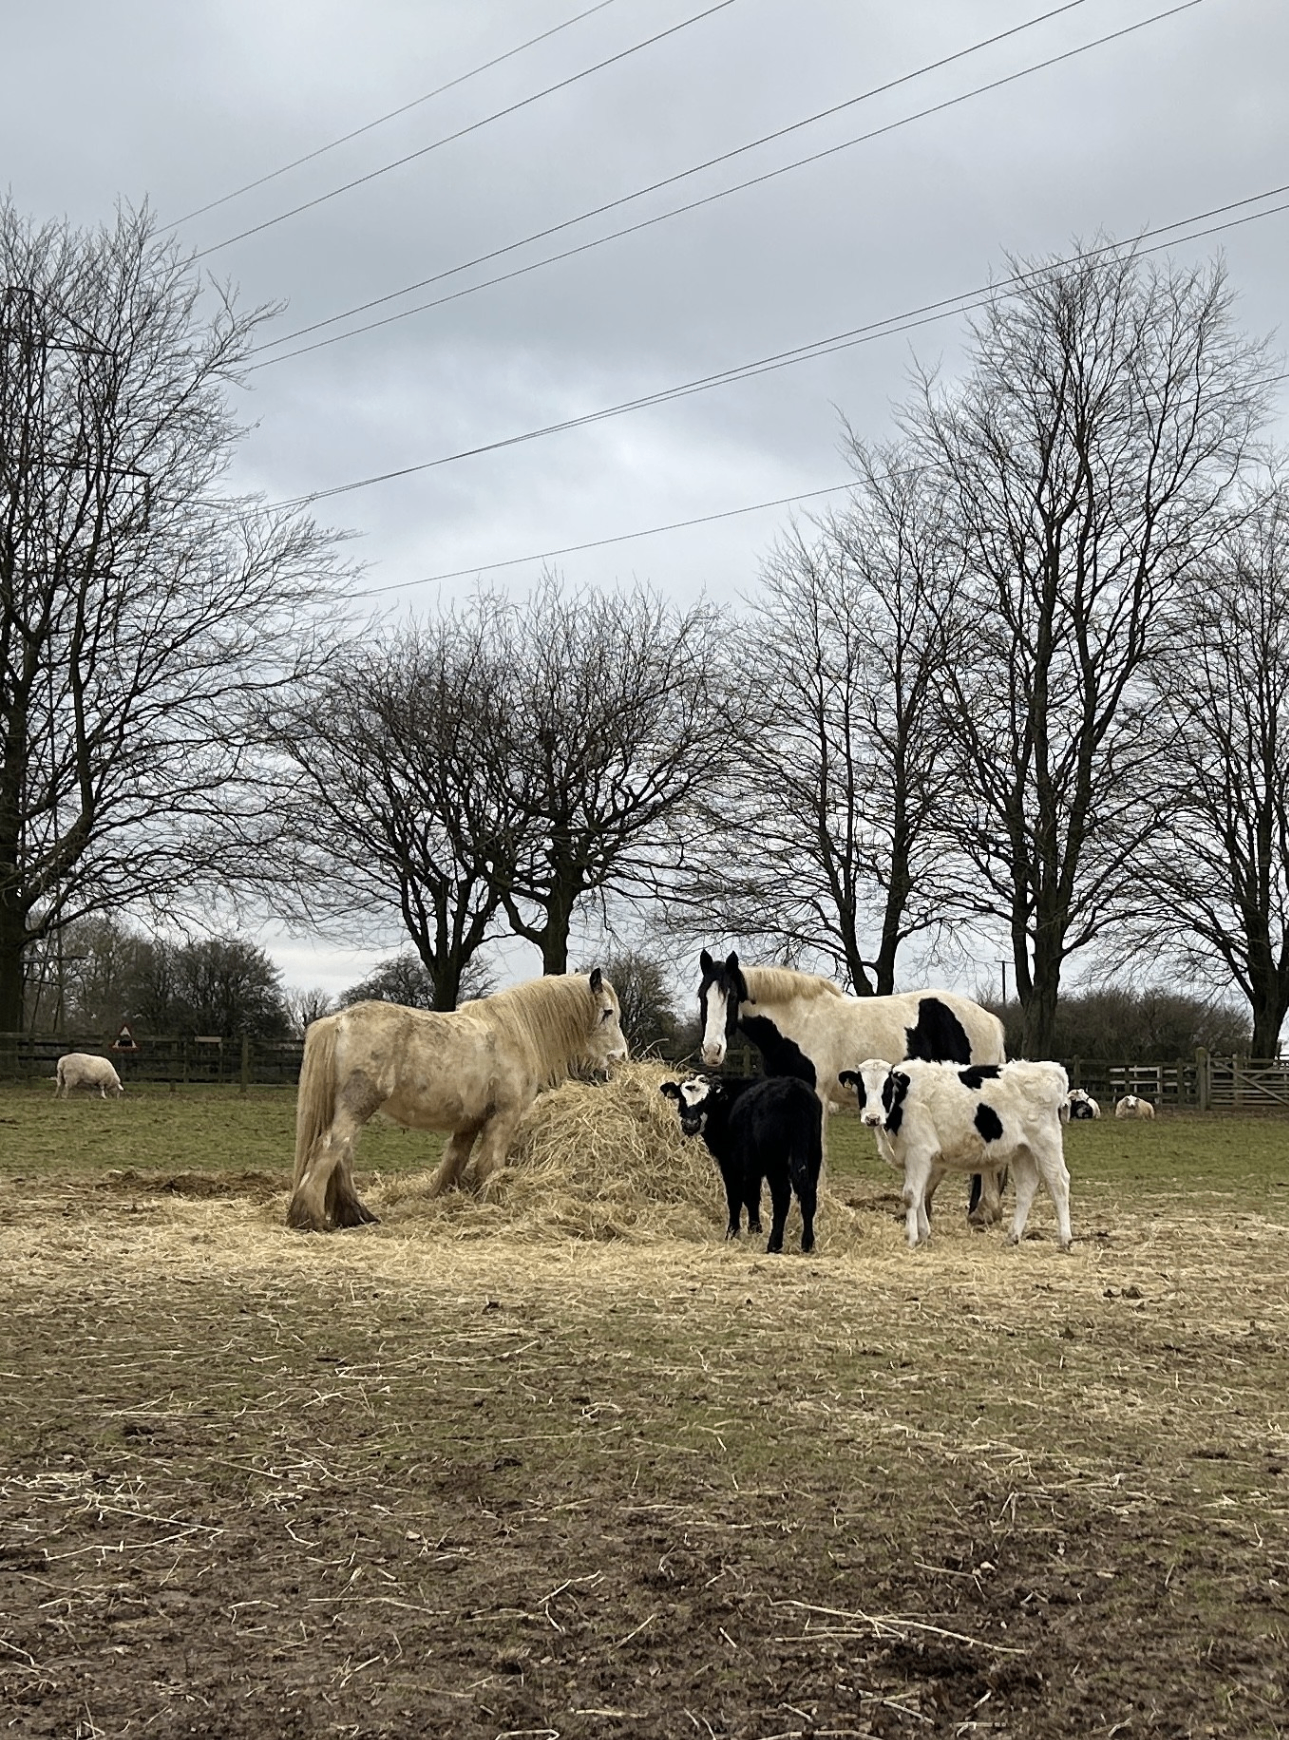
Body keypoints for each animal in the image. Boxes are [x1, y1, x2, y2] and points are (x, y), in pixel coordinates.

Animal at [286, 969, 628, 1232]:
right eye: (607, 1012)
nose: (620, 1056)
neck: (514, 1032)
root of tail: (339, 1022)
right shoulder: (503, 1117)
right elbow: (489, 1166)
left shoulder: (469, 1123)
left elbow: (453, 1163)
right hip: (357, 1106)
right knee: (329, 1148)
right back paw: (311, 1218)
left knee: (342, 1156)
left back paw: (354, 1215)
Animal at [660, 1074, 823, 1255]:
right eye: (682, 1099)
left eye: (707, 1101)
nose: (690, 1124)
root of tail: (795, 1089)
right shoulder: (753, 1168)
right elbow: (752, 1197)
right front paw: (755, 1230)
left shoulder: (732, 1165)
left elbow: (736, 1198)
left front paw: (733, 1233)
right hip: (813, 1154)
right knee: (808, 1193)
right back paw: (807, 1244)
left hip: (774, 1161)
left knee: (782, 1195)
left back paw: (774, 1244)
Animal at [696, 950, 1008, 1224]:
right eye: (702, 996)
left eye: (732, 995)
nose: (712, 1051)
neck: (799, 1022)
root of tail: (991, 1021)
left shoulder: (817, 1097)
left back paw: (982, 1212)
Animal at [839, 1058, 1072, 1251]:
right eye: (861, 1087)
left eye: (887, 1087)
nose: (872, 1118)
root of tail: (1050, 1068)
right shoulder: (917, 1158)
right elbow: (921, 1194)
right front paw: (924, 1234)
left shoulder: (919, 1152)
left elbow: (911, 1195)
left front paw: (911, 1238)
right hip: (1023, 1150)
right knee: (1026, 1188)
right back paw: (1012, 1237)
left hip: (1046, 1143)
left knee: (1059, 1183)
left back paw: (1065, 1239)